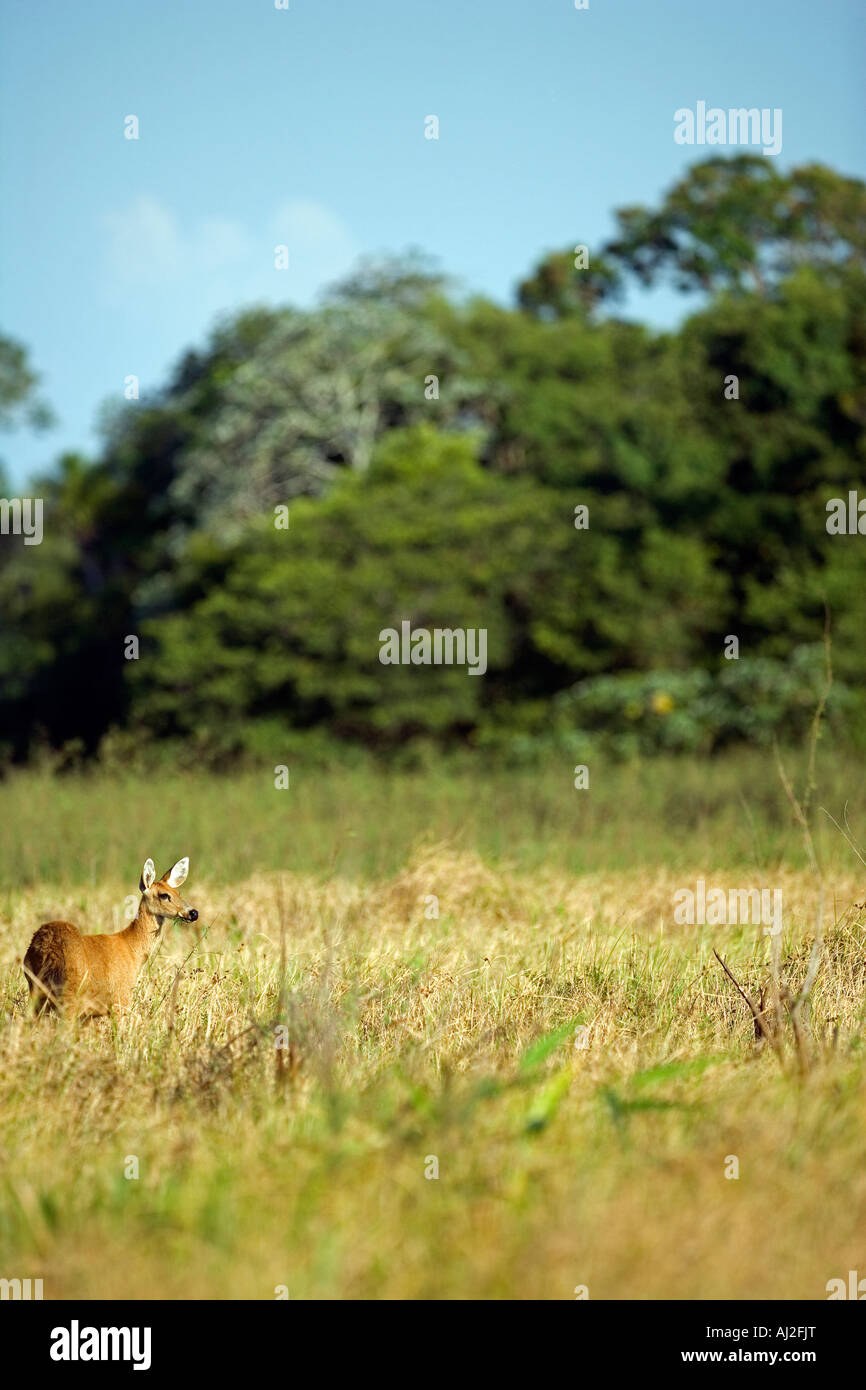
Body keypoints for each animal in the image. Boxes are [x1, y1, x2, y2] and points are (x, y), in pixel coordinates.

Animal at [24, 850, 201, 1017]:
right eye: (164, 895)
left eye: (178, 893)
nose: (193, 913)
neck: (132, 949)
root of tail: (48, 951)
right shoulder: (120, 998)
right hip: (70, 994)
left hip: (37, 988)